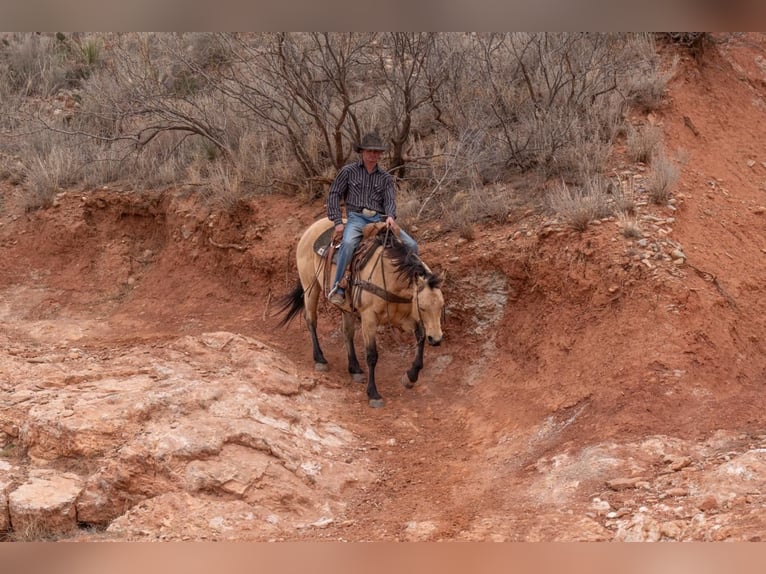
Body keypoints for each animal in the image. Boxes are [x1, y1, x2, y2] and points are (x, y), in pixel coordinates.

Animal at [278, 217, 448, 410]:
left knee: (347, 332)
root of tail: (312, 228)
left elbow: (420, 339)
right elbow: (372, 355)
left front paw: (410, 376)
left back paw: (355, 369)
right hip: (310, 287)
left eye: (441, 306)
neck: (390, 277)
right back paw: (320, 359)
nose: (437, 339)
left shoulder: (405, 318)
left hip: (346, 307)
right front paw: (373, 394)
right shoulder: (369, 319)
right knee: (311, 320)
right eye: (423, 307)